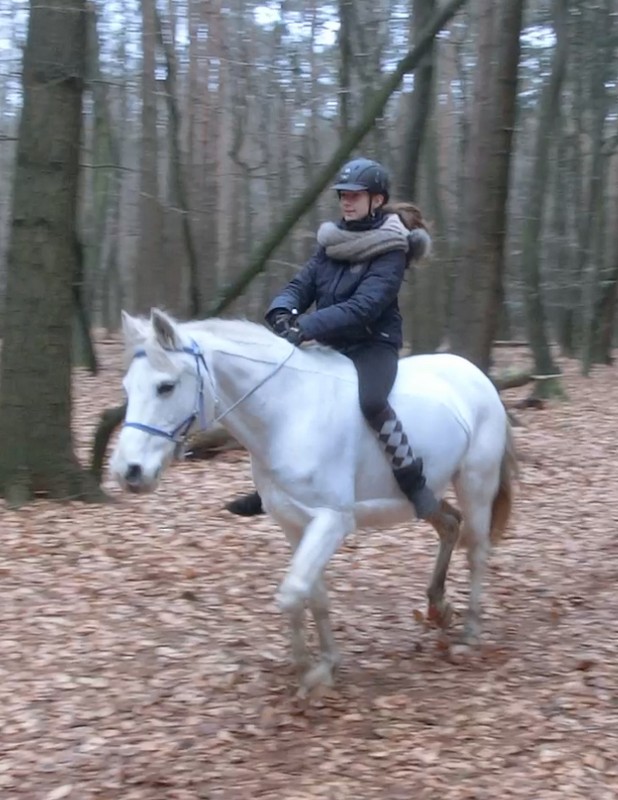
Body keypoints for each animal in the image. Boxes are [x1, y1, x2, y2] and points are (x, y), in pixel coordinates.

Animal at [111, 308, 516, 694]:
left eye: (166, 387)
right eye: (128, 387)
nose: (128, 470)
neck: (287, 413)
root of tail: (477, 376)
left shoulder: (332, 521)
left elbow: (292, 593)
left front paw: (308, 672)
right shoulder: (294, 524)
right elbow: (314, 594)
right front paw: (329, 663)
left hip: (476, 483)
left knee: (477, 550)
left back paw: (469, 635)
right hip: (421, 493)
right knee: (449, 524)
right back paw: (439, 607)